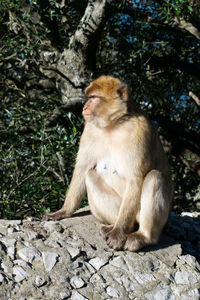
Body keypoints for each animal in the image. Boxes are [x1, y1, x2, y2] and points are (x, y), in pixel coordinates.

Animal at [44, 75, 173, 251]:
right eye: (89, 97)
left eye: (94, 97)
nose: (84, 106)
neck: (113, 126)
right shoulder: (90, 130)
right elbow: (82, 168)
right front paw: (63, 211)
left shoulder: (141, 131)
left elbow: (135, 178)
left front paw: (118, 233)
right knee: (90, 176)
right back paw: (115, 227)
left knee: (154, 177)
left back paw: (142, 236)